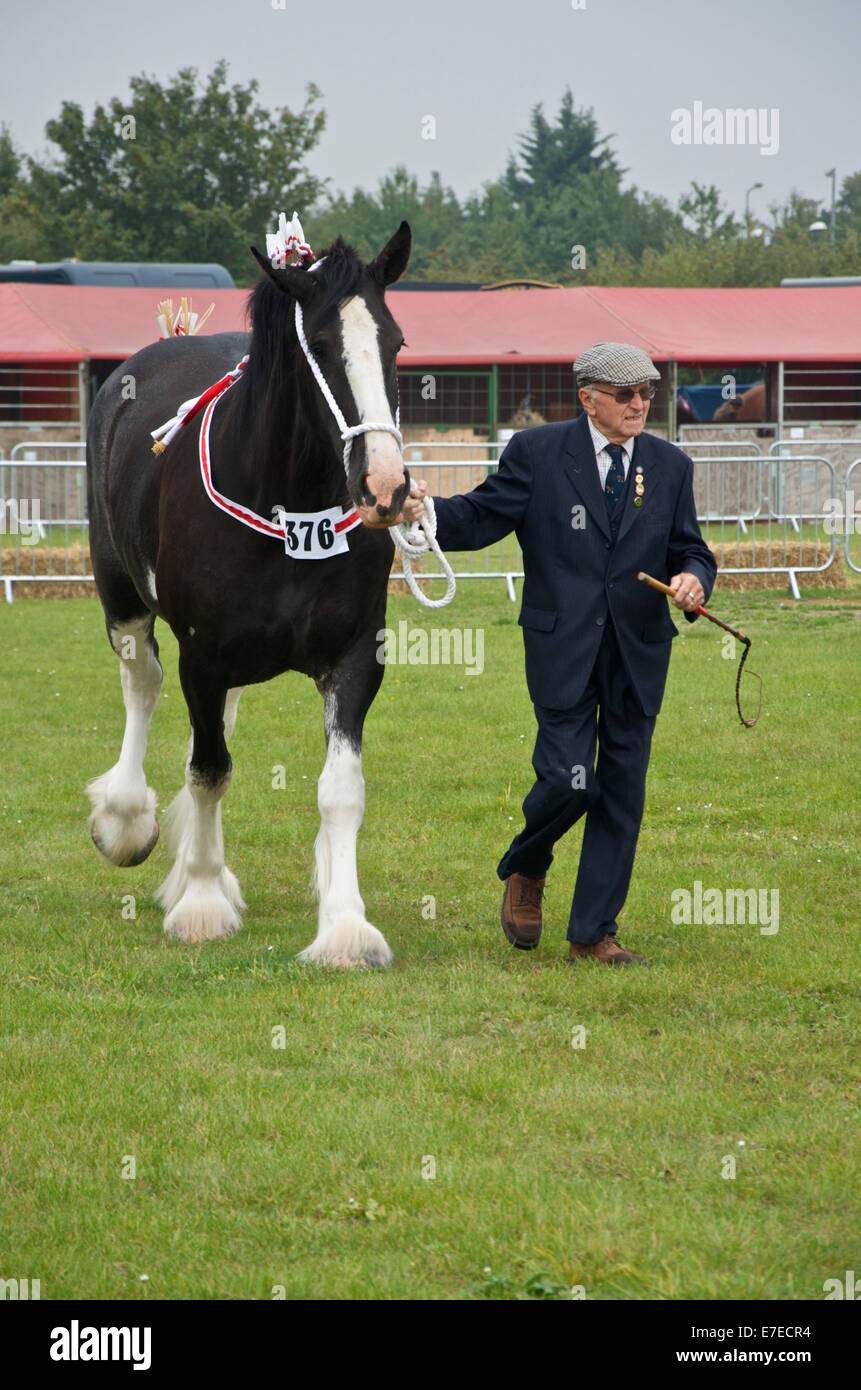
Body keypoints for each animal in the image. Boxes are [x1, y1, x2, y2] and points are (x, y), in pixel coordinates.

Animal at [86, 225, 414, 967]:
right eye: (318, 345)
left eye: (395, 342)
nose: (384, 487)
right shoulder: (202, 656)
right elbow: (209, 770)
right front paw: (202, 904)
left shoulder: (356, 657)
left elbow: (340, 790)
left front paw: (345, 927)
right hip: (122, 598)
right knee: (143, 684)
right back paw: (126, 819)